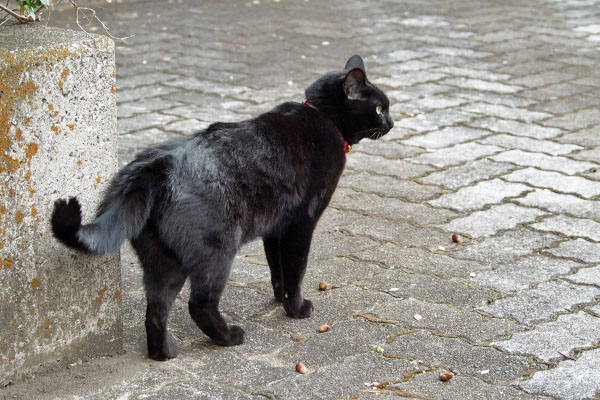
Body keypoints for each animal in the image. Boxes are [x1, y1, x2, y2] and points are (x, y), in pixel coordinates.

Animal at [51, 54, 394, 360]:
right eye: (379, 107)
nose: (392, 122)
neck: (322, 118)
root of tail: (153, 166)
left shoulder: (275, 229)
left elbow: (277, 269)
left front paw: (278, 299)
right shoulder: (301, 225)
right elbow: (295, 269)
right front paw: (296, 308)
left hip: (163, 260)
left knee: (156, 309)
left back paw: (164, 354)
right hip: (216, 252)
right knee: (199, 304)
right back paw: (229, 337)